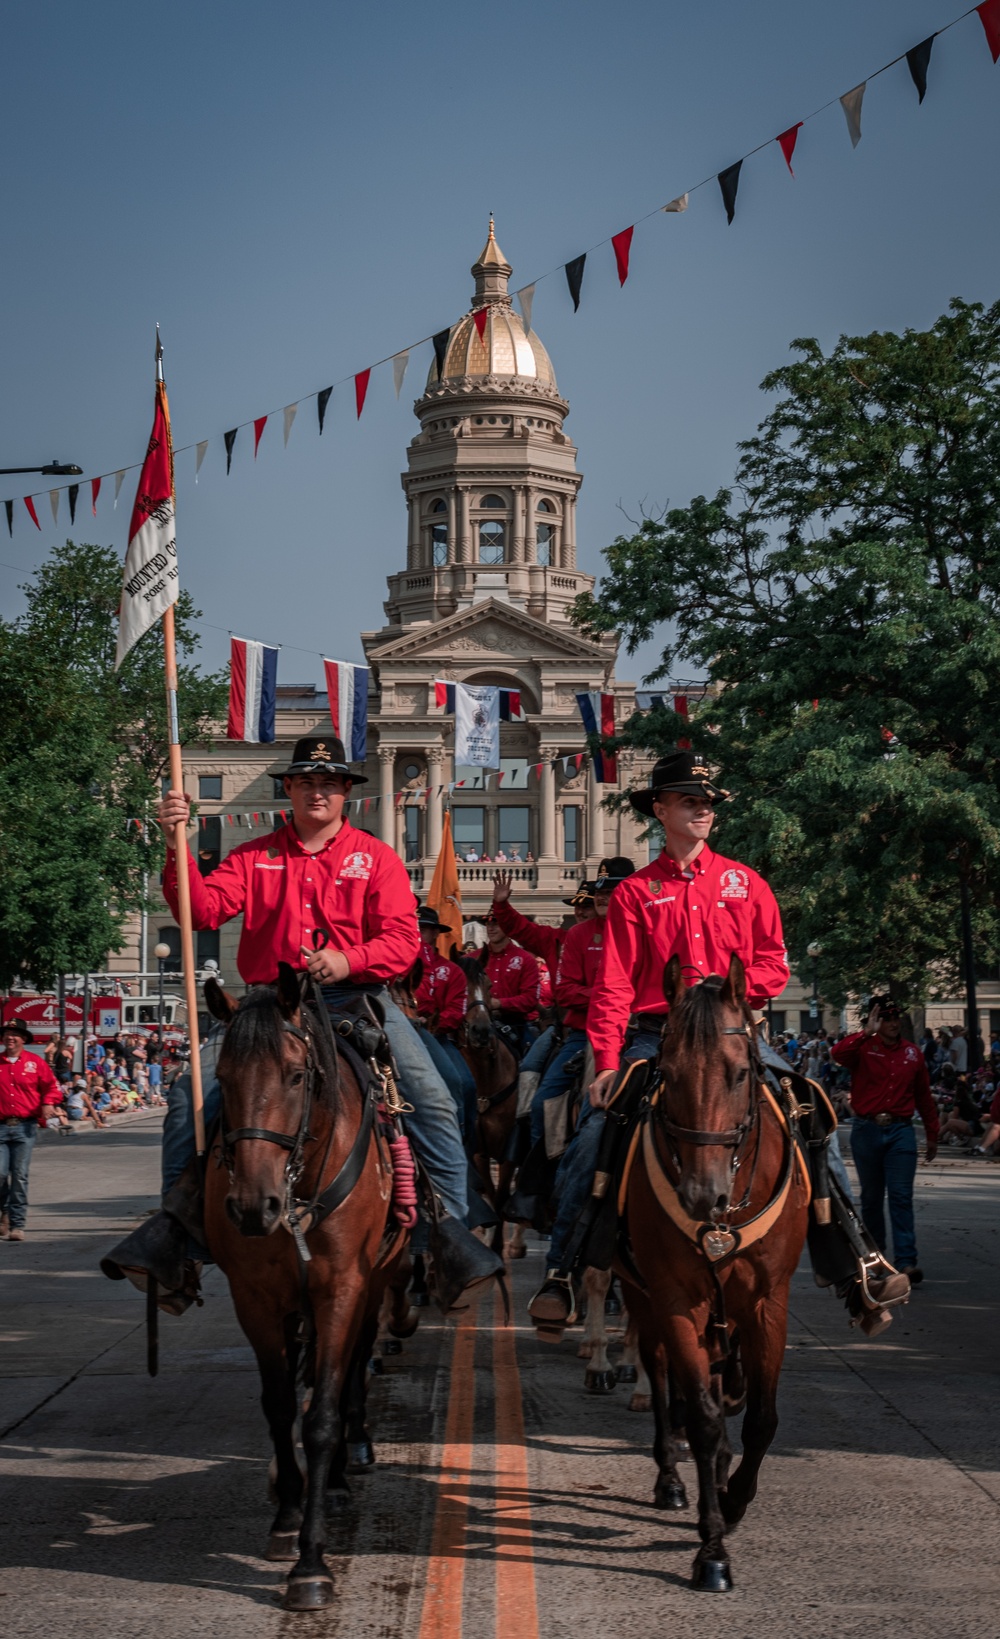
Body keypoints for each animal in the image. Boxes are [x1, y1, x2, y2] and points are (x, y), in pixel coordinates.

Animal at [200, 963, 406, 1606]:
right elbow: (279, 1404)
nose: (251, 1206)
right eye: (221, 1077)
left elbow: (321, 1418)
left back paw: (341, 1471)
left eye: (295, 1076)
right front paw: (288, 1517)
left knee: (347, 1380)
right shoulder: (256, 1299)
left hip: (374, 1285)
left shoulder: (342, 1289)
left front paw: (311, 1564)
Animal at [622, 957, 809, 1593]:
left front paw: (732, 1501)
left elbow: (764, 1419)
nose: (703, 1196)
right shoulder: (677, 1298)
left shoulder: (768, 1302)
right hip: (641, 1295)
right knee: (661, 1377)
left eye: (738, 1074)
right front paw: (712, 1549)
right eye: (669, 1073)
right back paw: (670, 1477)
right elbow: (701, 1417)